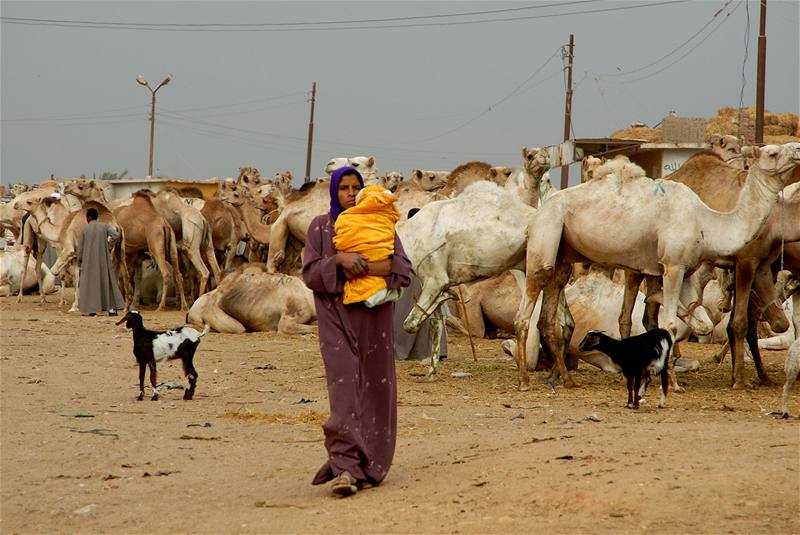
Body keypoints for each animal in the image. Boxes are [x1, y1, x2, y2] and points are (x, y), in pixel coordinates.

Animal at [516, 144, 800, 392]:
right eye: (772, 152)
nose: (797, 148)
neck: (706, 222)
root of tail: (537, 212)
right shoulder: (674, 266)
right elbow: (670, 325)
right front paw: (673, 383)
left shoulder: (674, 271)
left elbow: (672, 319)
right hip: (546, 233)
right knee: (526, 308)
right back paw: (524, 381)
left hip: (563, 255)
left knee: (548, 314)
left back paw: (565, 379)